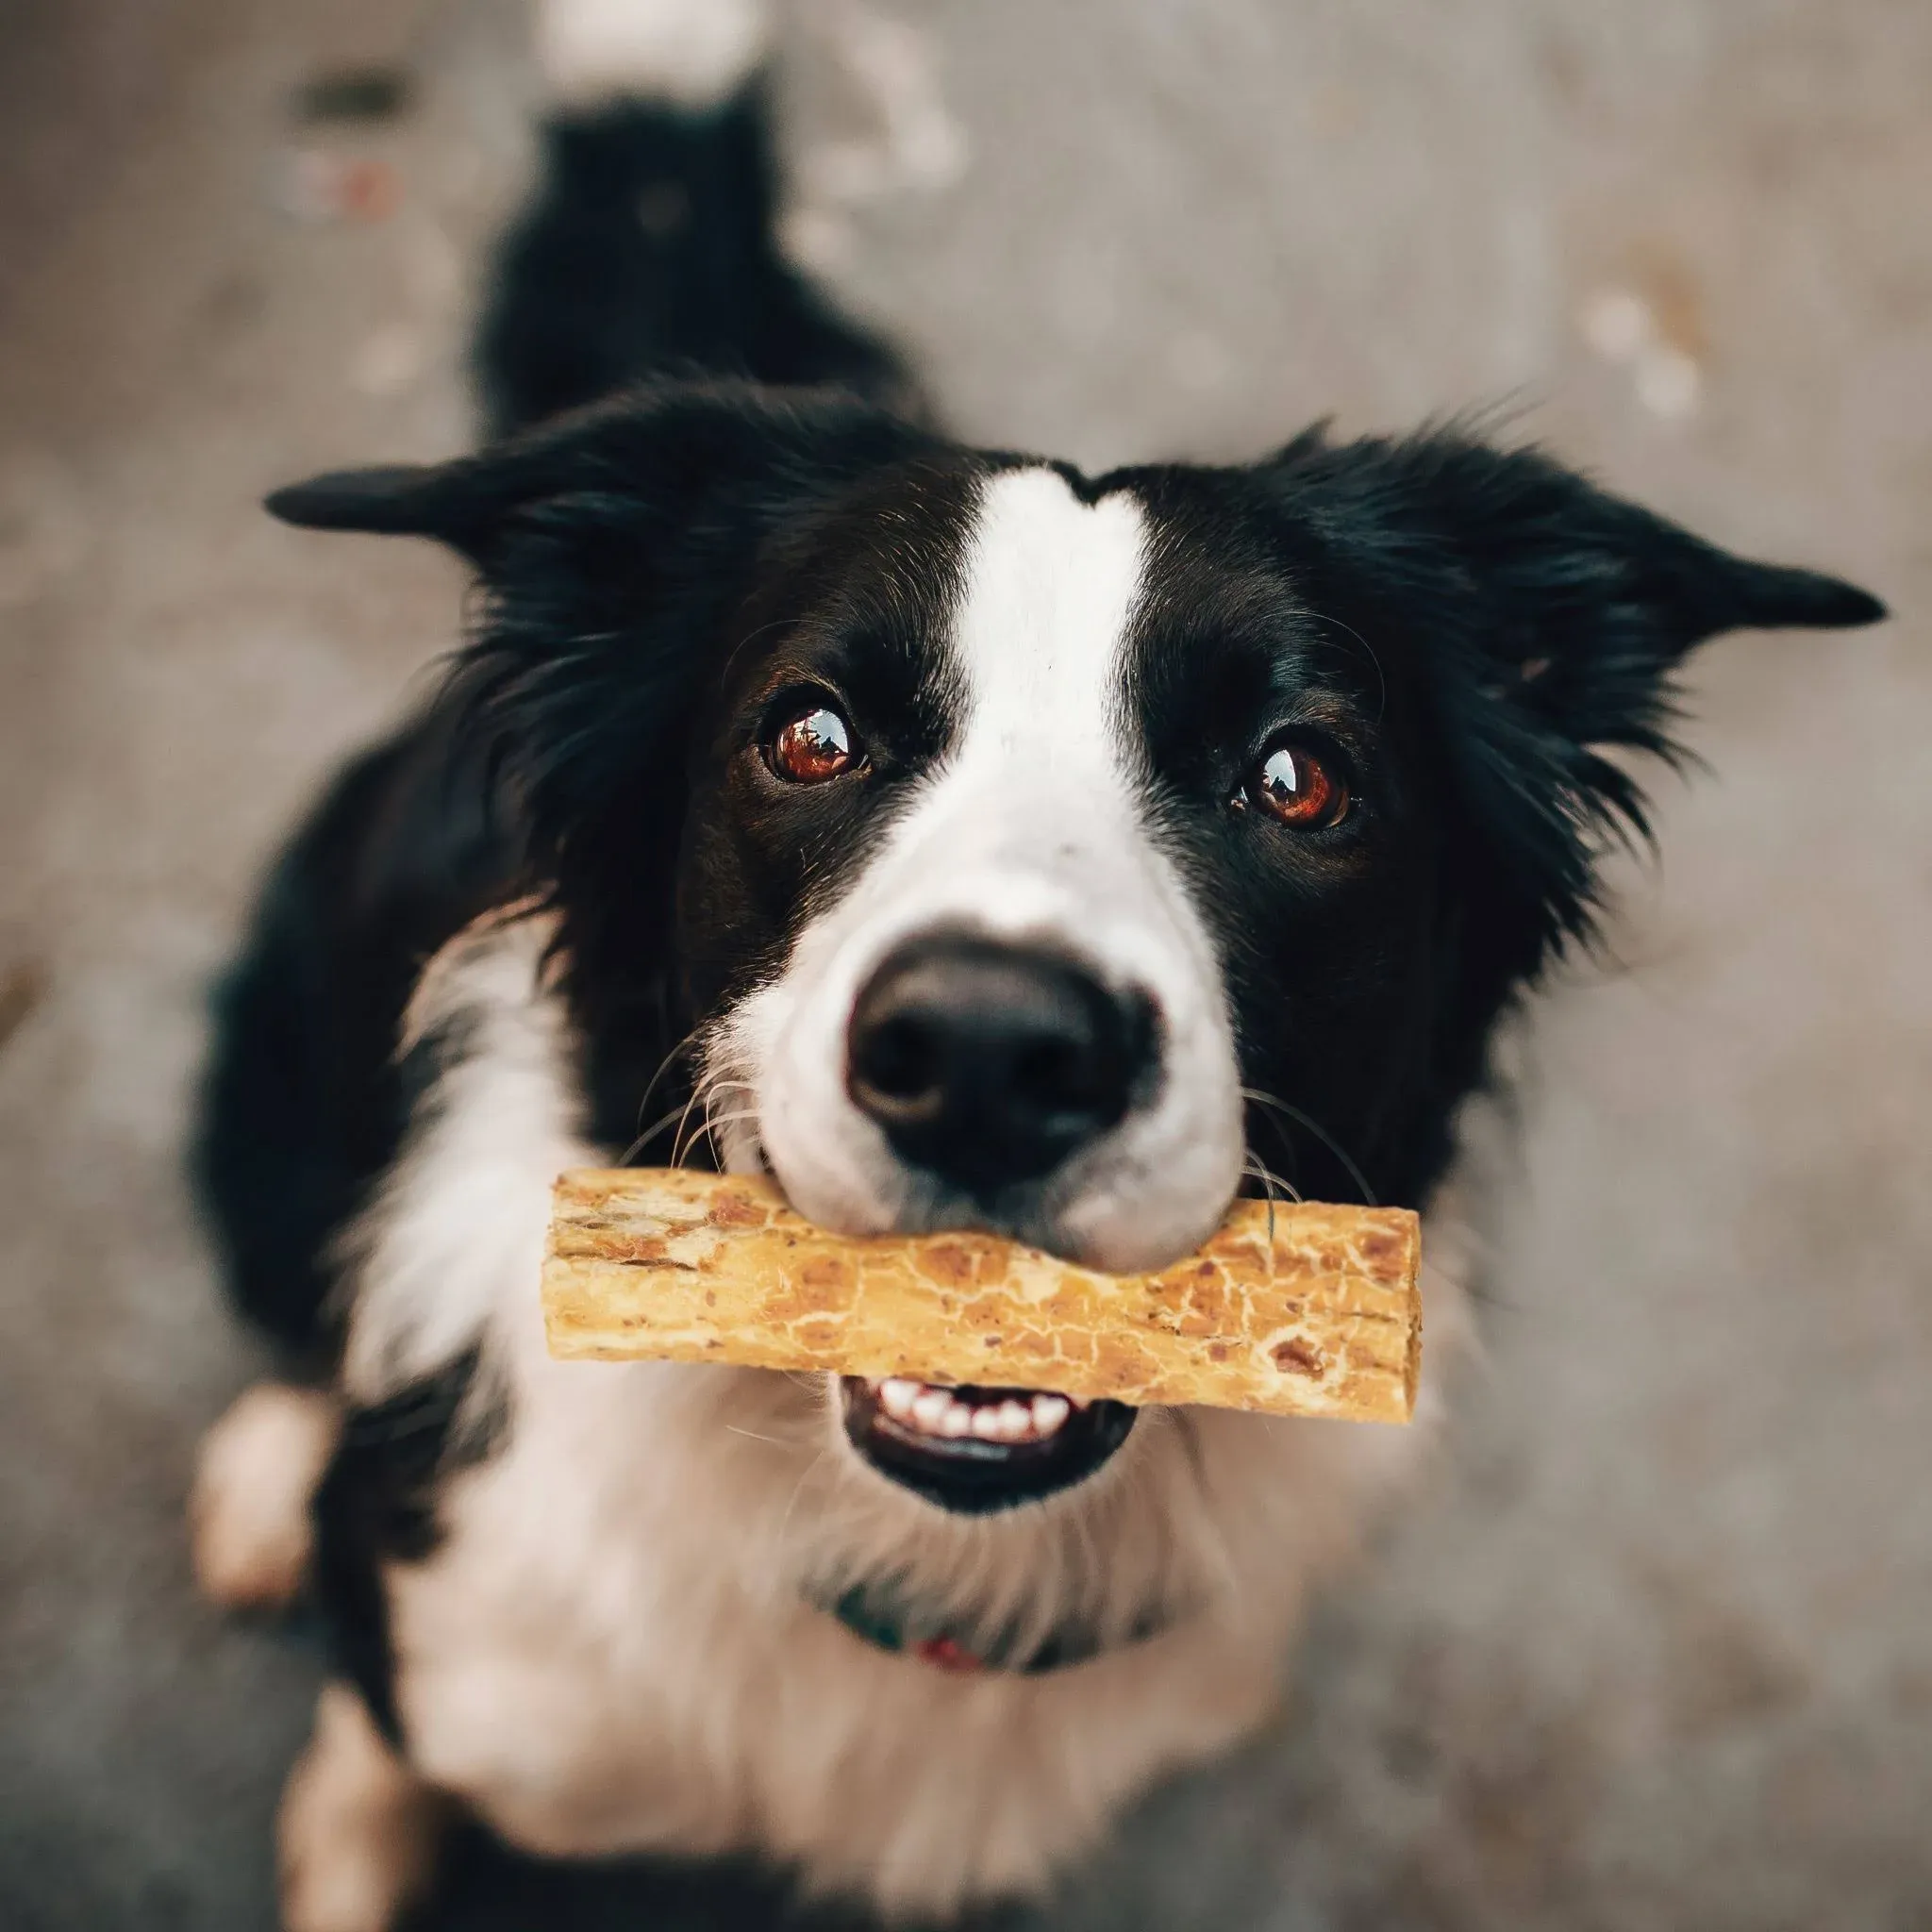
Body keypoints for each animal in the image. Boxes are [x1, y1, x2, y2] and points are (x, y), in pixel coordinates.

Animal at [184, 8, 1885, 1924]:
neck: (921, 1567)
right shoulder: (447, 1654)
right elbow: (368, 1760)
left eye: (1298, 776)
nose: (992, 1053)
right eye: (811, 733)